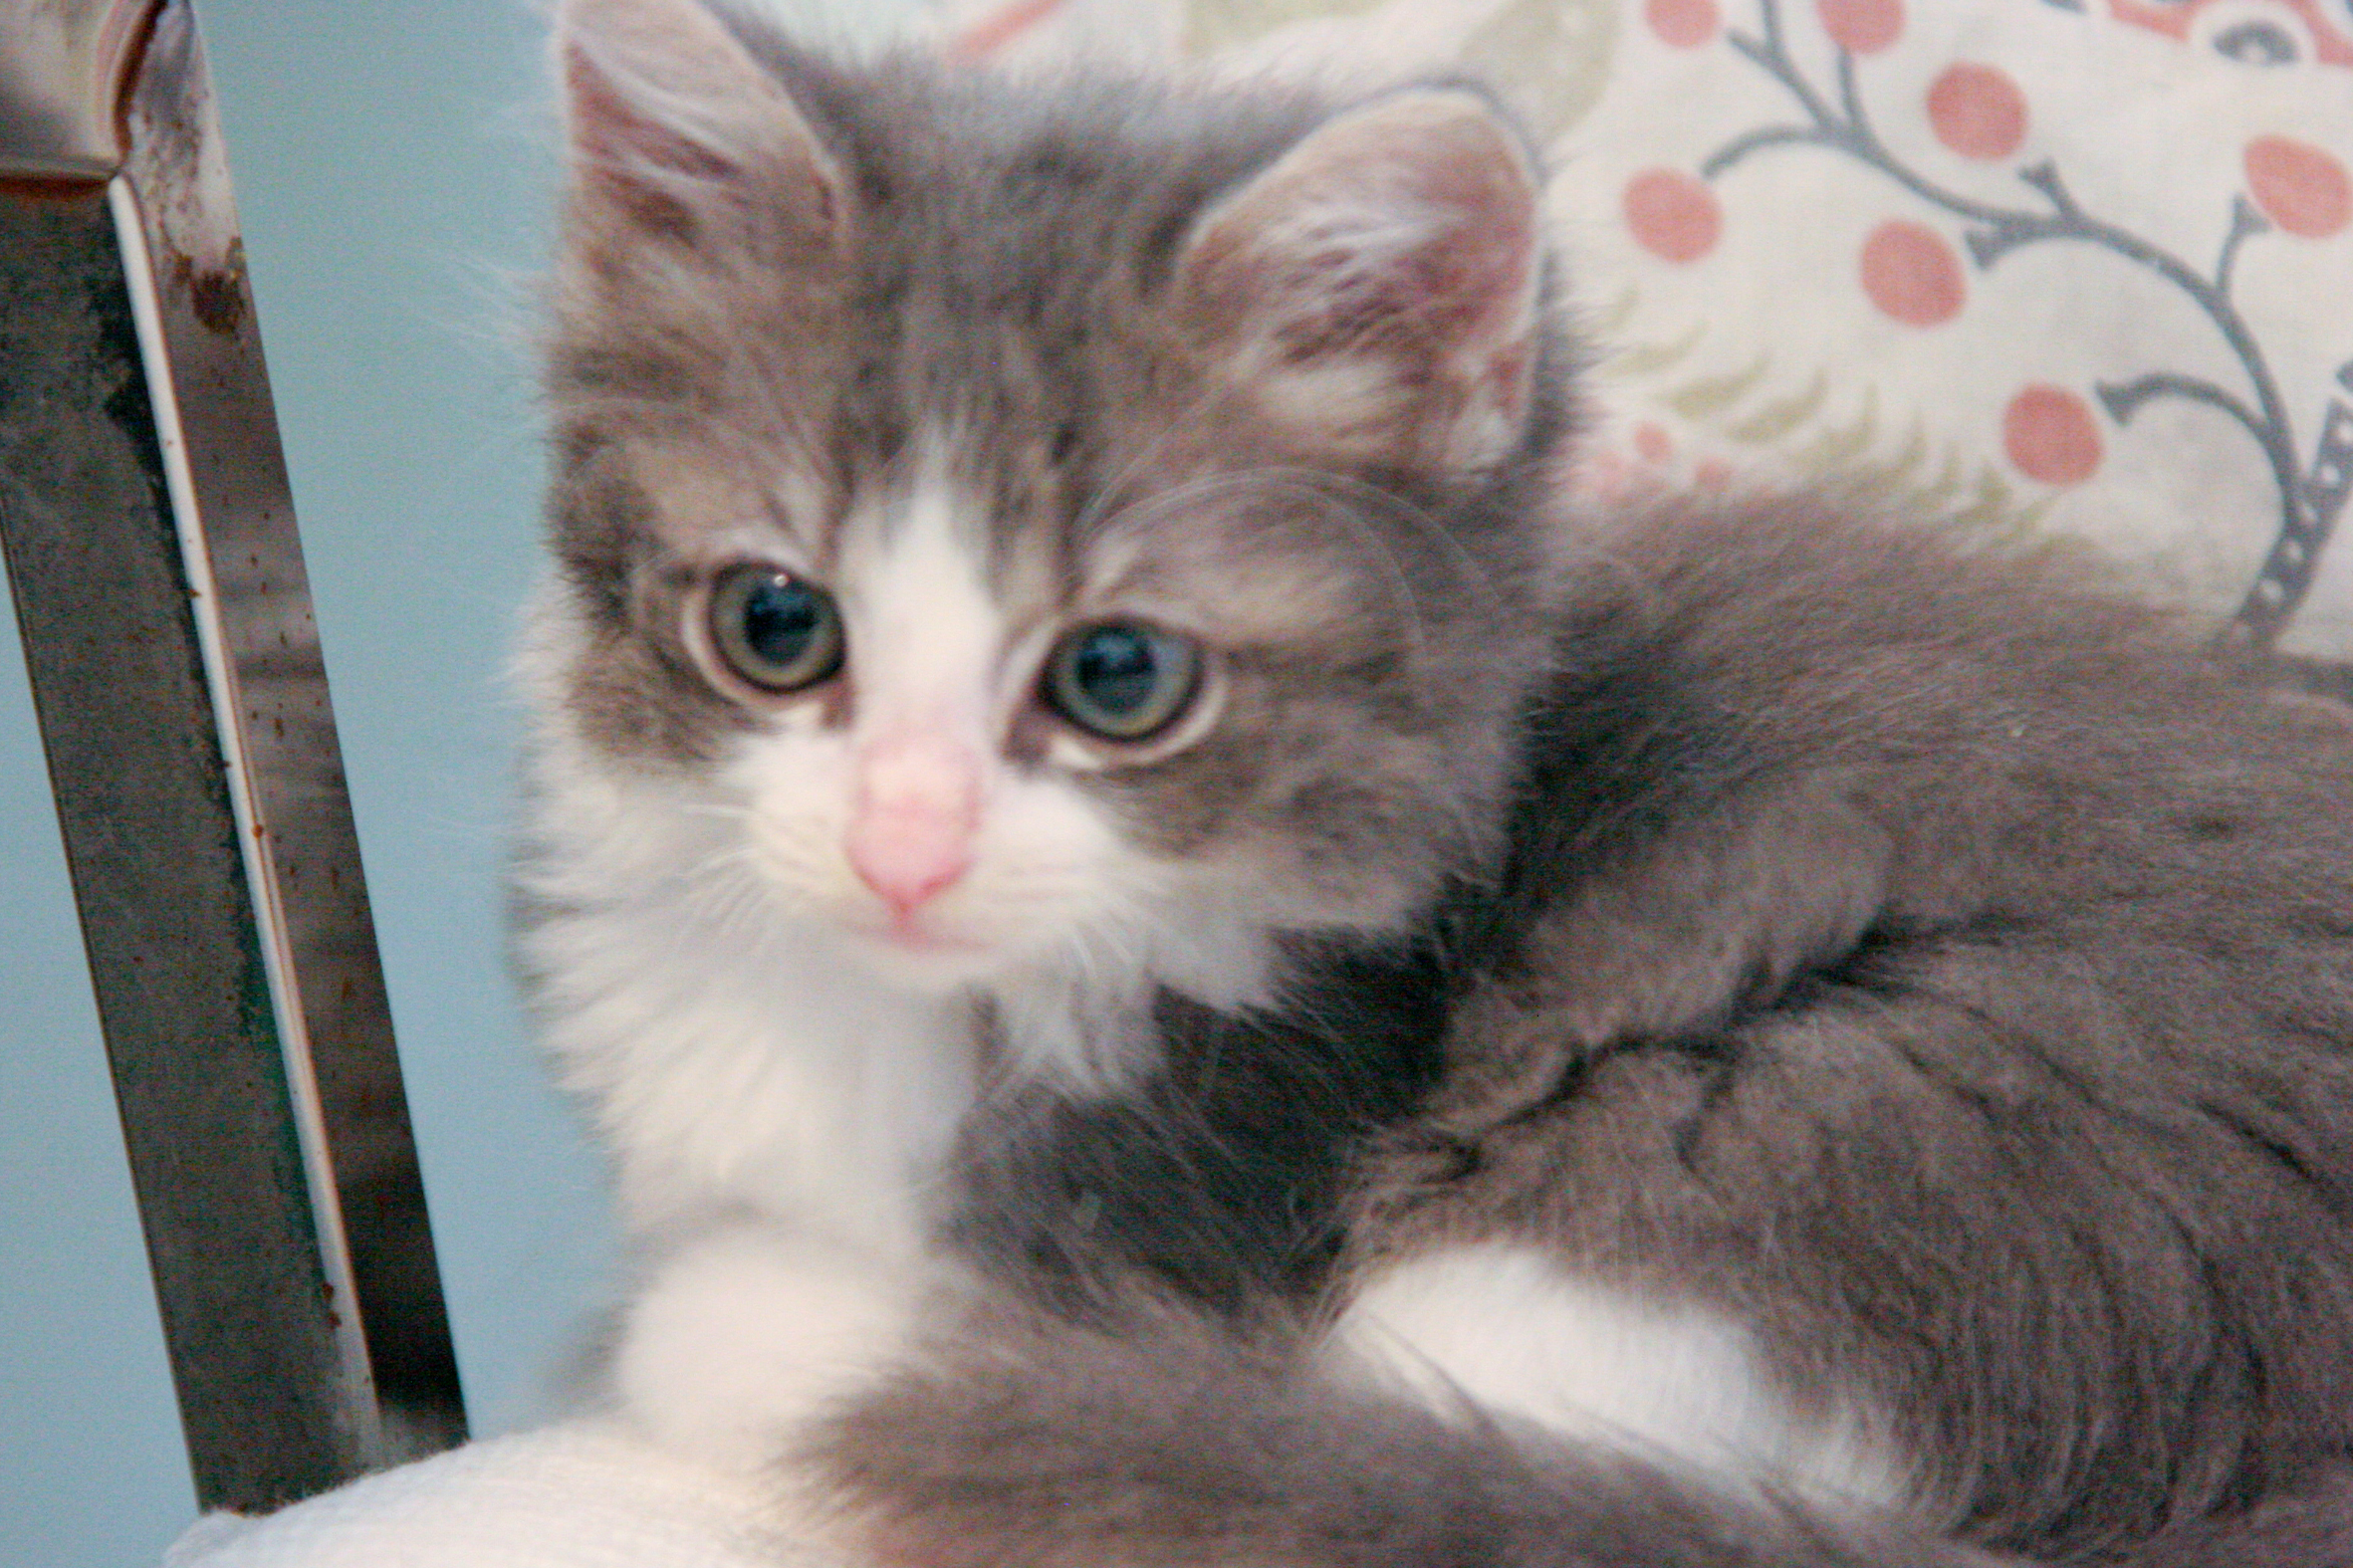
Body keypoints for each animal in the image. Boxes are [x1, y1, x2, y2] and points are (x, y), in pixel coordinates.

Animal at [529, 3, 2353, 1568]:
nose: (898, 850)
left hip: (1805, 1154)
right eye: (776, 624)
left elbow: (749, 1319)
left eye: (1117, 675)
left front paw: (718, 1312)